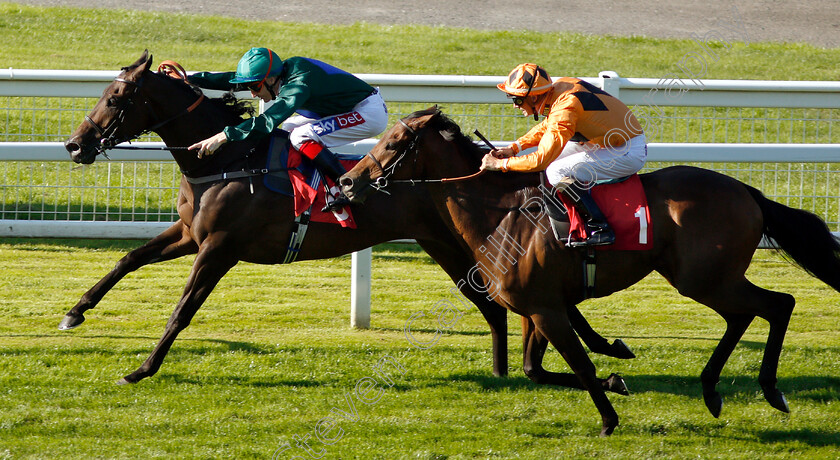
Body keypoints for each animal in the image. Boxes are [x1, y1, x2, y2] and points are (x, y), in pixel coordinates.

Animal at [60, 52, 632, 390]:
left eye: (115, 97)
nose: (74, 145)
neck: (226, 159)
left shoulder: (218, 248)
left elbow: (182, 310)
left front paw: (142, 368)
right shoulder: (188, 234)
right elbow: (128, 258)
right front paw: (74, 313)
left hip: (455, 245)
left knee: (509, 301)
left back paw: (575, 355)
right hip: (447, 246)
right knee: (501, 305)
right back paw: (518, 369)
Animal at [338, 107, 840, 434]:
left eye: (395, 143)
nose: (346, 181)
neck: (500, 215)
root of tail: (747, 191)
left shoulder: (547, 309)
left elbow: (577, 364)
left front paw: (608, 420)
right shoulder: (538, 308)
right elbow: (536, 370)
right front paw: (615, 381)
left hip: (705, 278)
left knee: (777, 304)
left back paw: (770, 390)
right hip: (708, 278)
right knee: (747, 315)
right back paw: (713, 391)